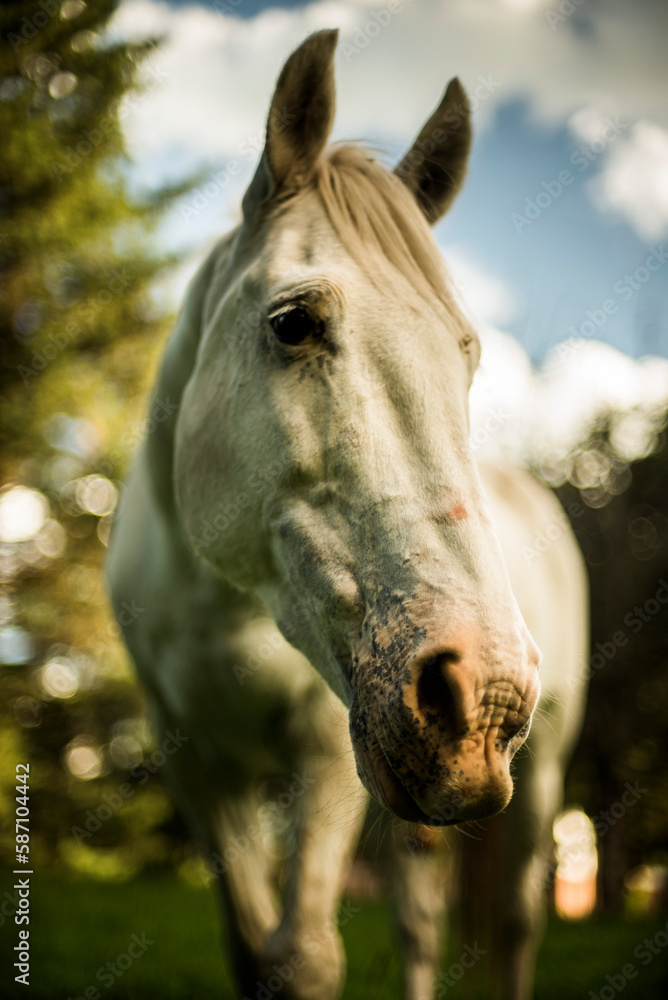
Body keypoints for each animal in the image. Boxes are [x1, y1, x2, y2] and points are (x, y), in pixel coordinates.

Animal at [107, 29, 588, 1000]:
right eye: (293, 323)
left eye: (466, 356)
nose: (486, 697)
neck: (223, 602)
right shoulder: (195, 761)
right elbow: (255, 950)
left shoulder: (328, 749)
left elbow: (303, 958)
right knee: (419, 918)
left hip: (541, 770)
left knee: (516, 919)